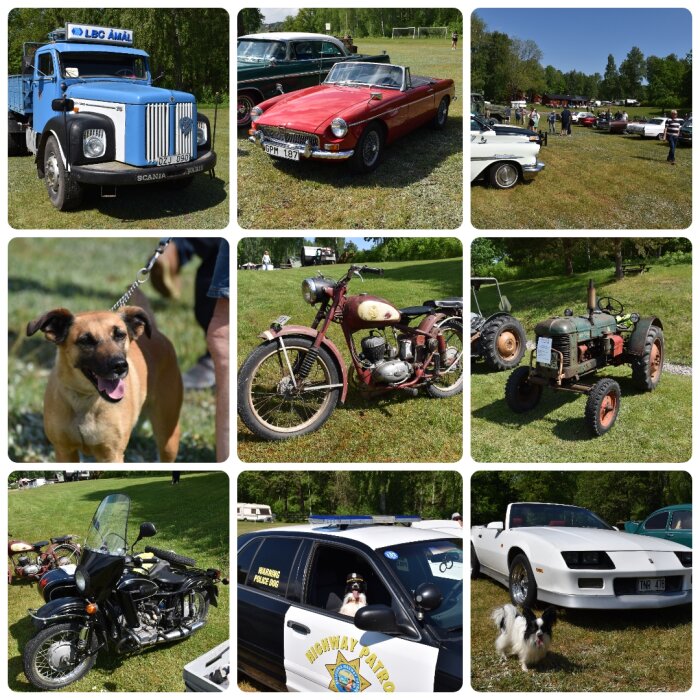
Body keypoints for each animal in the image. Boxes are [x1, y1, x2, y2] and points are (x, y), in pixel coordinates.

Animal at [27, 302, 182, 462]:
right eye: (86, 340)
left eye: (120, 335)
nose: (120, 366)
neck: (85, 399)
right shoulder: (64, 451)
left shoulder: (112, 455)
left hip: (168, 438)